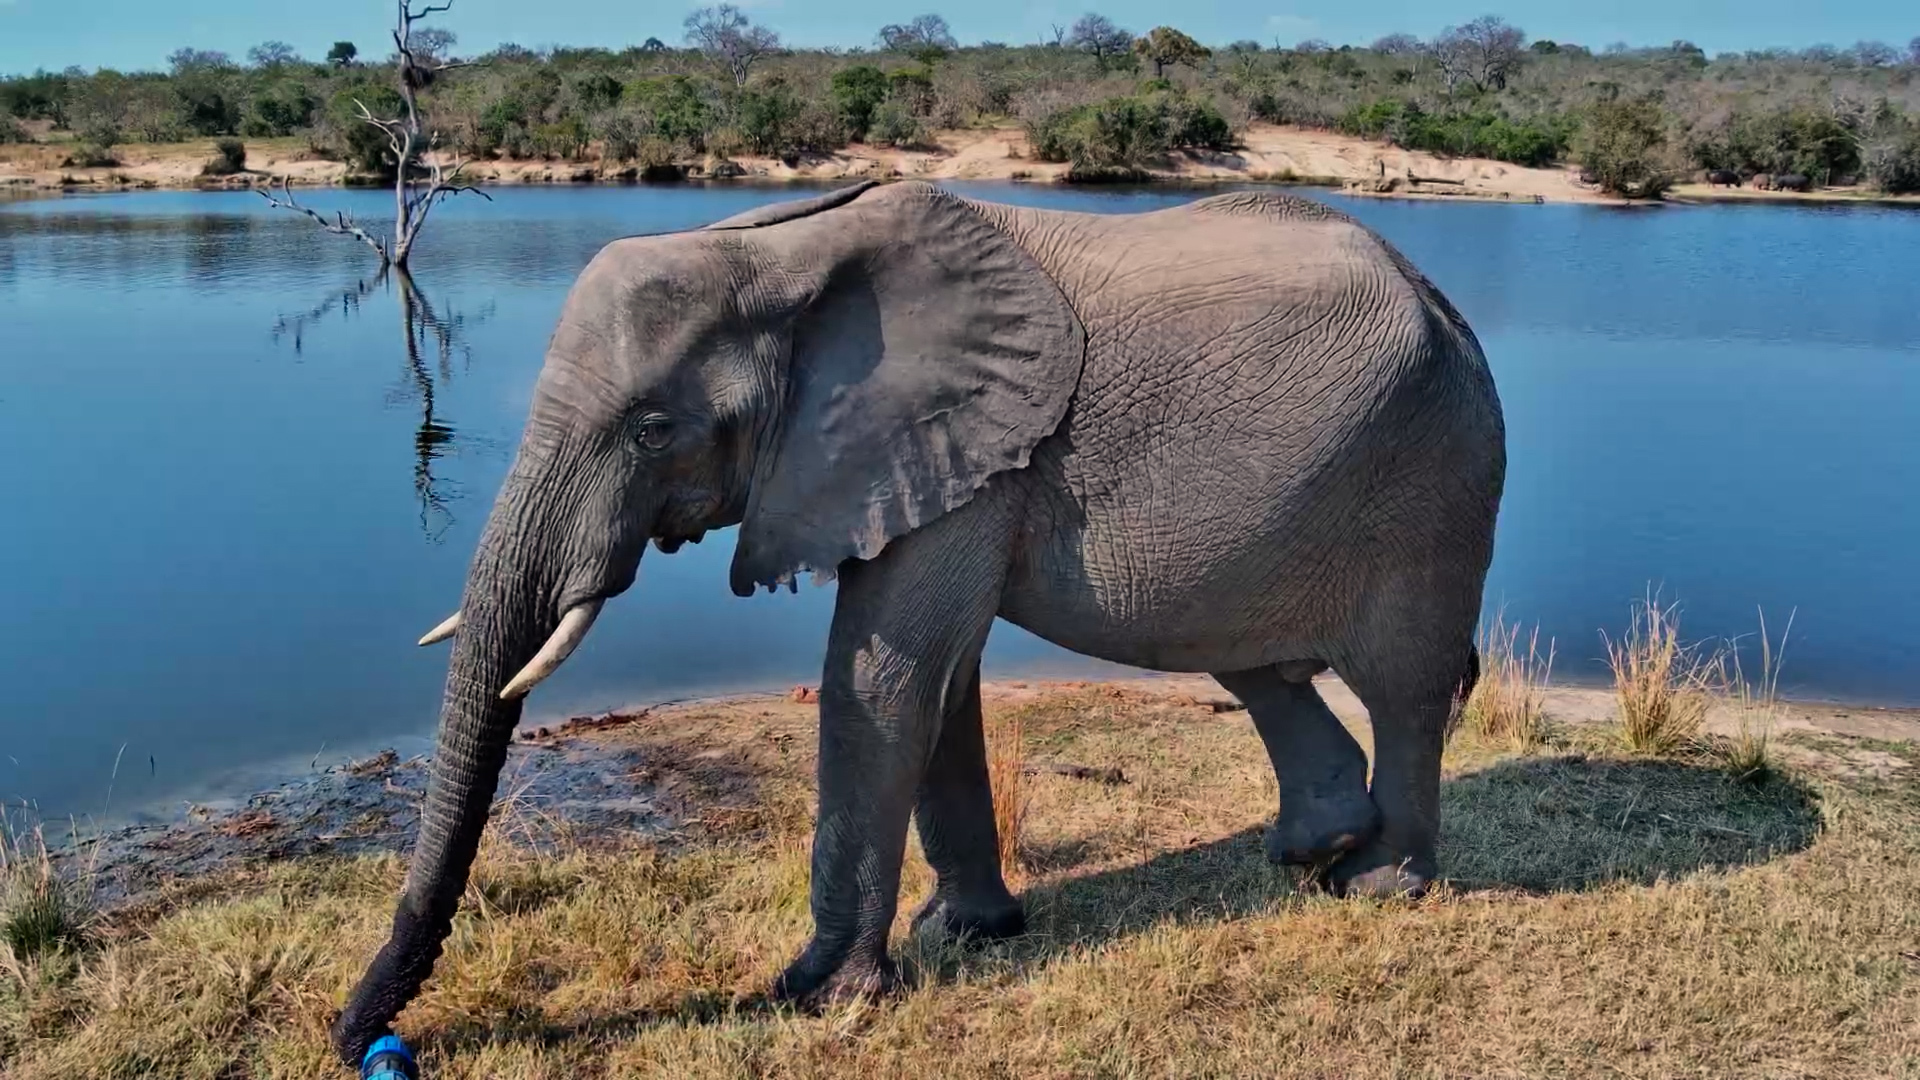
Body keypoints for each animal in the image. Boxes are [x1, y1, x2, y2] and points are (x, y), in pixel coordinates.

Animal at [329, 180, 1506, 1066]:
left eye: (653, 428)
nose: (363, 1042)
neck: (778, 252)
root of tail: (1445, 299)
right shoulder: (928, 459)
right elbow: (943, 678)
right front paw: (967, 935)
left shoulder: (962, 445)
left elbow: (887, 675)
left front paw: (816, 996)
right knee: (1256, 667)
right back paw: (1311, 851)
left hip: (1432, 476)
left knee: (1401, 684)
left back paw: (1378, 881)